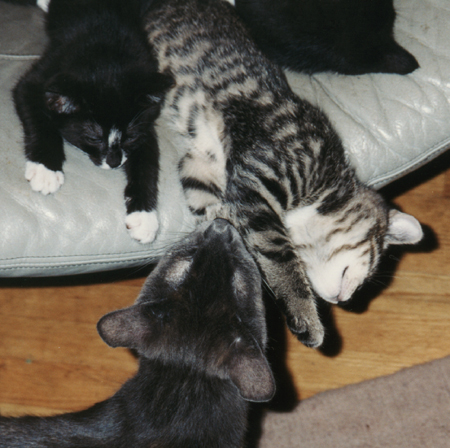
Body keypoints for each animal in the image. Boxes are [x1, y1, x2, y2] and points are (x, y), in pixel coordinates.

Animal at [13, 0, 172, 243]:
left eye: (130, 136)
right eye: (93, 138)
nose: (115, 162)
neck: (107, 54)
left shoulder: (145, 119)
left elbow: (148, 160)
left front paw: (144, 216)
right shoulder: (42, 76)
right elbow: (38, 116)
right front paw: (46, 169)